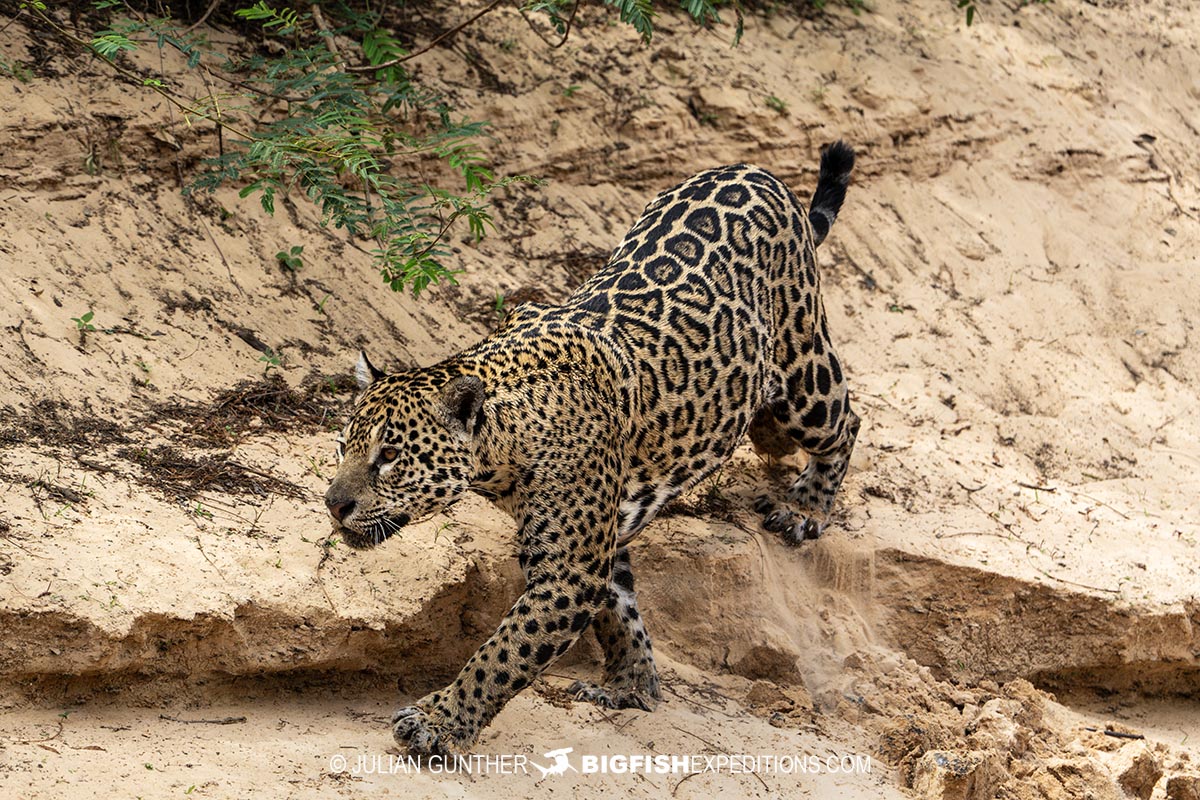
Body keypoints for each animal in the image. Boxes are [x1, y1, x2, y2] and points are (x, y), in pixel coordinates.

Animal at [324, 141, 861, 755]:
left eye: (389, 457)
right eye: (342, 446)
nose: (333, 505)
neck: (503, 444)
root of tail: (758, 170)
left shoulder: (569, 571)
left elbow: (499, 655)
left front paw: (438, 721)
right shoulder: (600, 540)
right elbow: (620, 608)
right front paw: (631, 684)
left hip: (805, 372)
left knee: (846, 420)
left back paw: (804, 507)